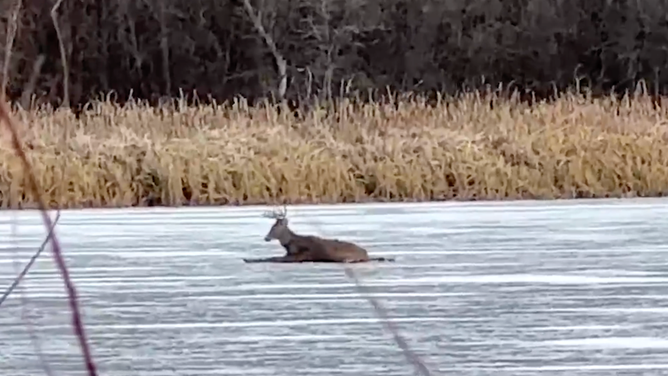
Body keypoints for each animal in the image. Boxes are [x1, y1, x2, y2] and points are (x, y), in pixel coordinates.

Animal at [244, 206, 392, 264]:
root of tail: (366, 254)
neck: (291, 243)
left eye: (274, 227)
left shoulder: (302, 255)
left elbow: (274, 258)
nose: (266, 238)